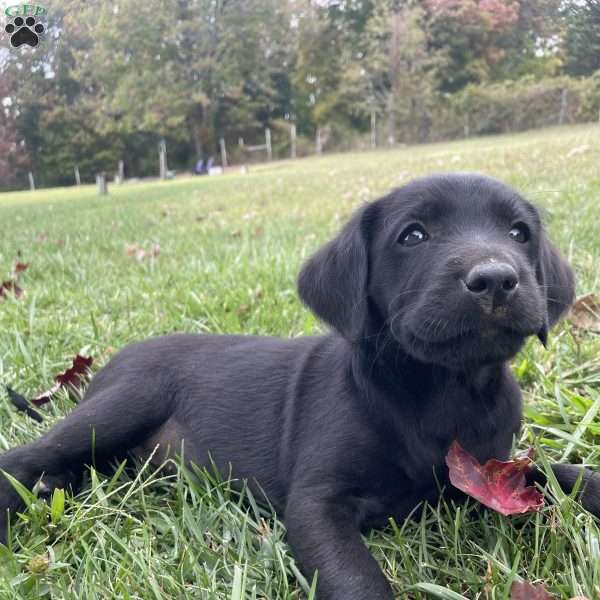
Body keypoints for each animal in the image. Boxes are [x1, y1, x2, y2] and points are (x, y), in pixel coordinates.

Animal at [1, 172, 600, 596]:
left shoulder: (492, 465)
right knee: (26, 456)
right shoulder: (317, 503)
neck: (441, 390)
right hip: (128, 398)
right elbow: (356, 581)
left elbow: (559, 473)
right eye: (413, 235)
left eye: (519, 233)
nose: (496, 278)